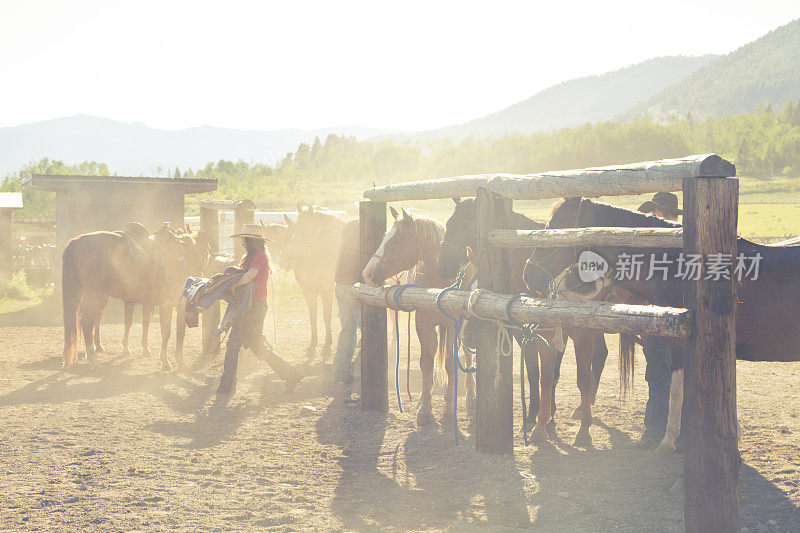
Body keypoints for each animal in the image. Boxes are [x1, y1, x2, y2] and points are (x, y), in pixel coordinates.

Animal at [282, 204, 344, 362]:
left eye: (306, 229)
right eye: (284, 236)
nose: (283, 260)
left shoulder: (327, 292)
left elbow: (326, 317)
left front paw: (327, 345)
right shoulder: (308, 292)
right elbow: (313, 318)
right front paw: (312, 346)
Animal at [362, 207, 456, 424]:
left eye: (396, 241)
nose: (367, 274)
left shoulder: (453, 326)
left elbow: (449, 364)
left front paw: (448, 409)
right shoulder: (423, 323)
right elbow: (426, 363)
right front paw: (425, 409)